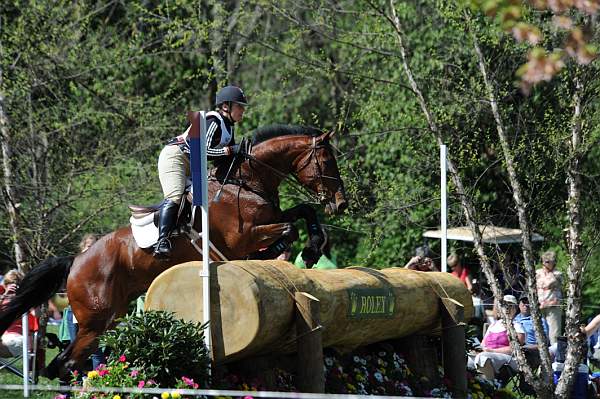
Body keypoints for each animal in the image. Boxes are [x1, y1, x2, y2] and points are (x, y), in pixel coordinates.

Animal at [0, 124, 346, 382]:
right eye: (327, 162)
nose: (340, 203)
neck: (245, 182)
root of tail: (76, 260)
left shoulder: (269, 217)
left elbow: (303, 212)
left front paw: (312, 248)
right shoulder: (244, 236)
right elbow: (288, 229)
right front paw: (282, 252)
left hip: (109, 318)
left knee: (63, 363)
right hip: (94, 320)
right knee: (67, 363)